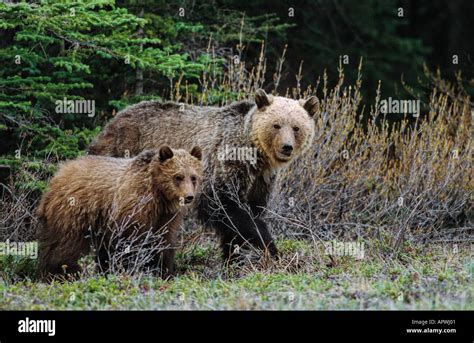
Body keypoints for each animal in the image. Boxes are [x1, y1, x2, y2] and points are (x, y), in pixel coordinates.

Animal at [35, 145, 202, 280]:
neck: (159, 195)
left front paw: (165, 272)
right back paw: (61, 272)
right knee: (66, 244)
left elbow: (163, 242)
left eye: (193, 177)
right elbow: (128, 242)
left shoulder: (166, 217)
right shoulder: (134, 208)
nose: (189, 196)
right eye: (178, 176)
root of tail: (59, 173)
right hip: (72, 210)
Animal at [89, 90, 318, 262]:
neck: (255, 155)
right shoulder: (223, 163)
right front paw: (269, 246)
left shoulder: (260, 180)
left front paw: (233, 256)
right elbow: (226, 208)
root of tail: (111, 123)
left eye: (296, 127)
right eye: (276, 125)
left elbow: (248, 212)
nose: (286, 147)